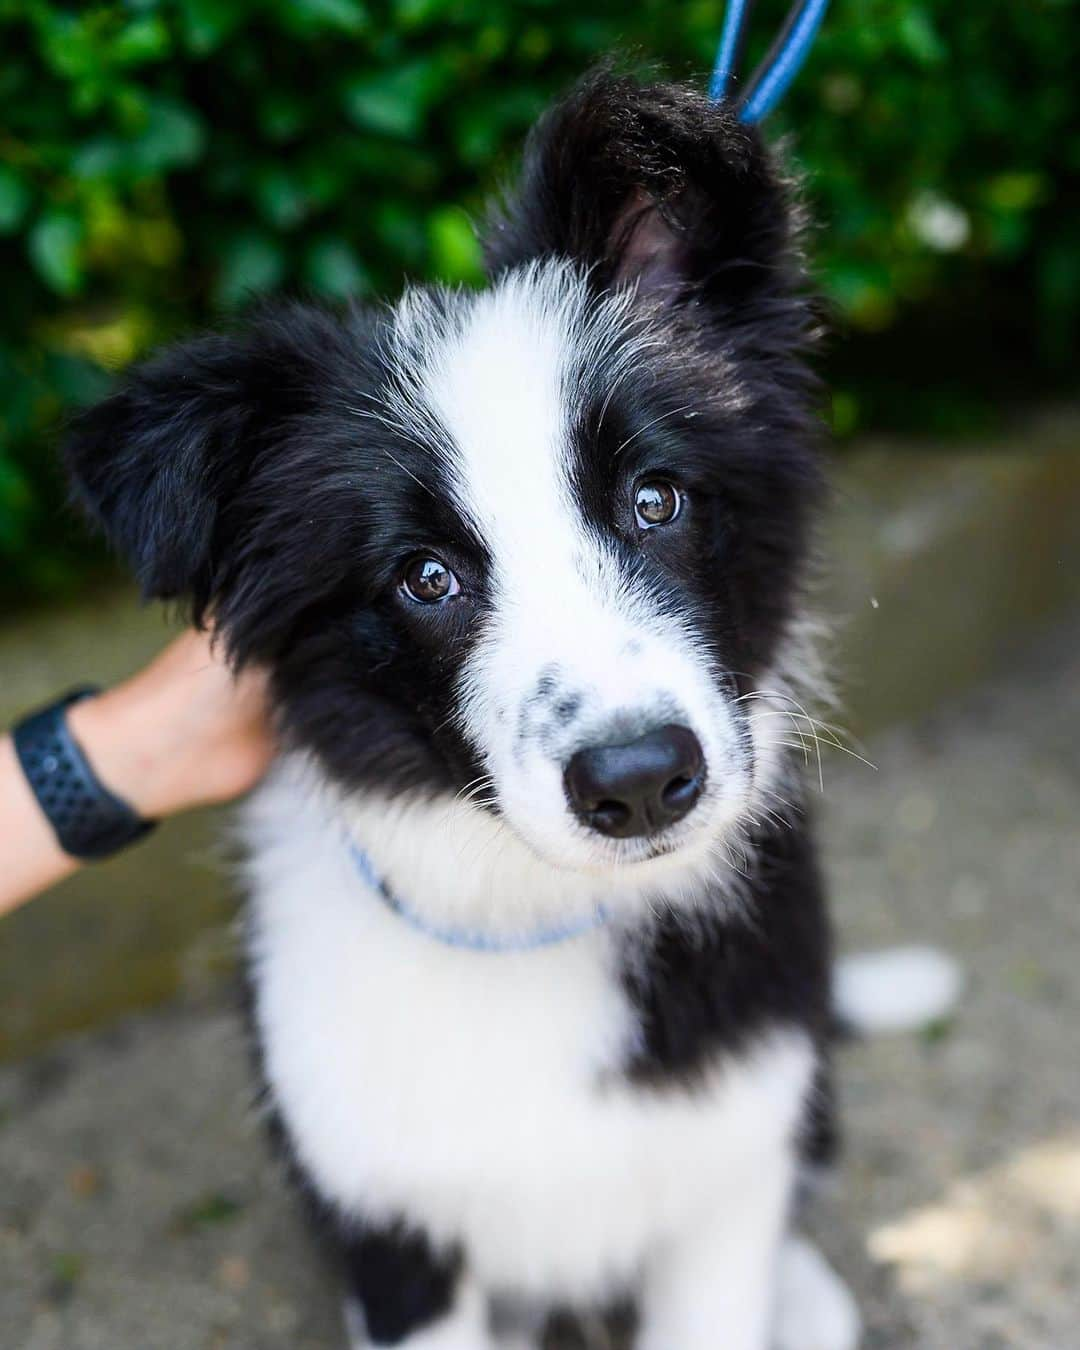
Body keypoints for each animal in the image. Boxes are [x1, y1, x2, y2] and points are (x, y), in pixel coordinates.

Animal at [65, 71, 945, 1350]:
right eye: (425, 577)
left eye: (654, 499)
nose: (638, 782)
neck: (531, 913)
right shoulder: (391, 1225)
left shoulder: (724, 1165)